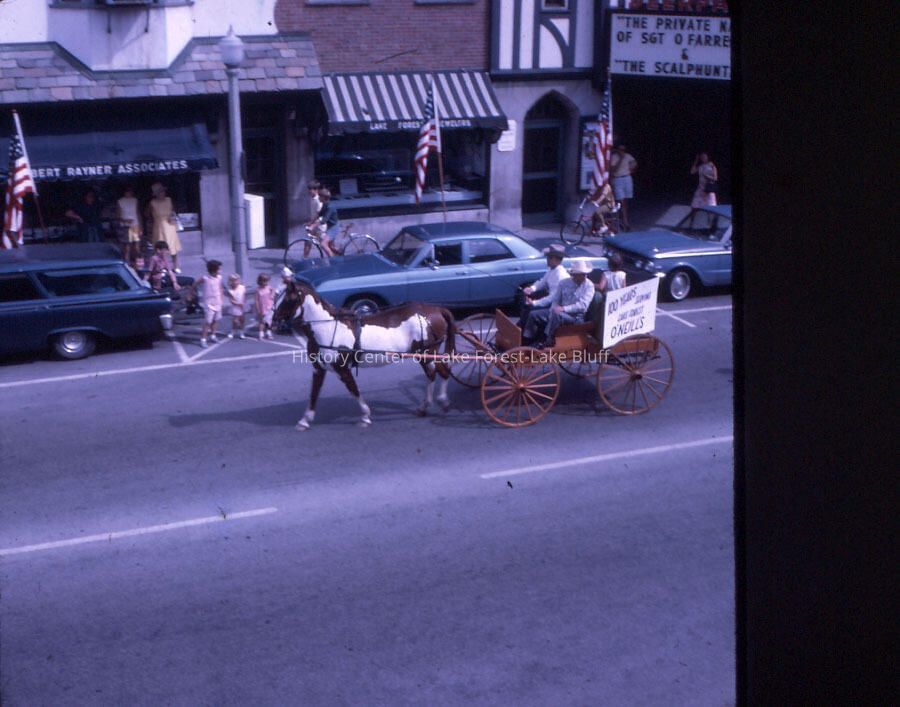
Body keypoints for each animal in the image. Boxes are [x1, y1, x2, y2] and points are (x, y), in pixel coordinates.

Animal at [272, 281, 456, 429]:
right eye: (277, 297)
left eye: (288, 299)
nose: (272, 322)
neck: (327, 327)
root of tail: (436, 309)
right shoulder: (319, 368)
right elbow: (314, 393)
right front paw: (304, 420)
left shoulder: (341, 368)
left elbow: (353, 389)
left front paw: (366, 416)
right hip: (423, 356)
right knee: (432, 374)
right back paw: (425, 407)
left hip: (429, 352)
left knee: (442, 372)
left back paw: (444, 401)